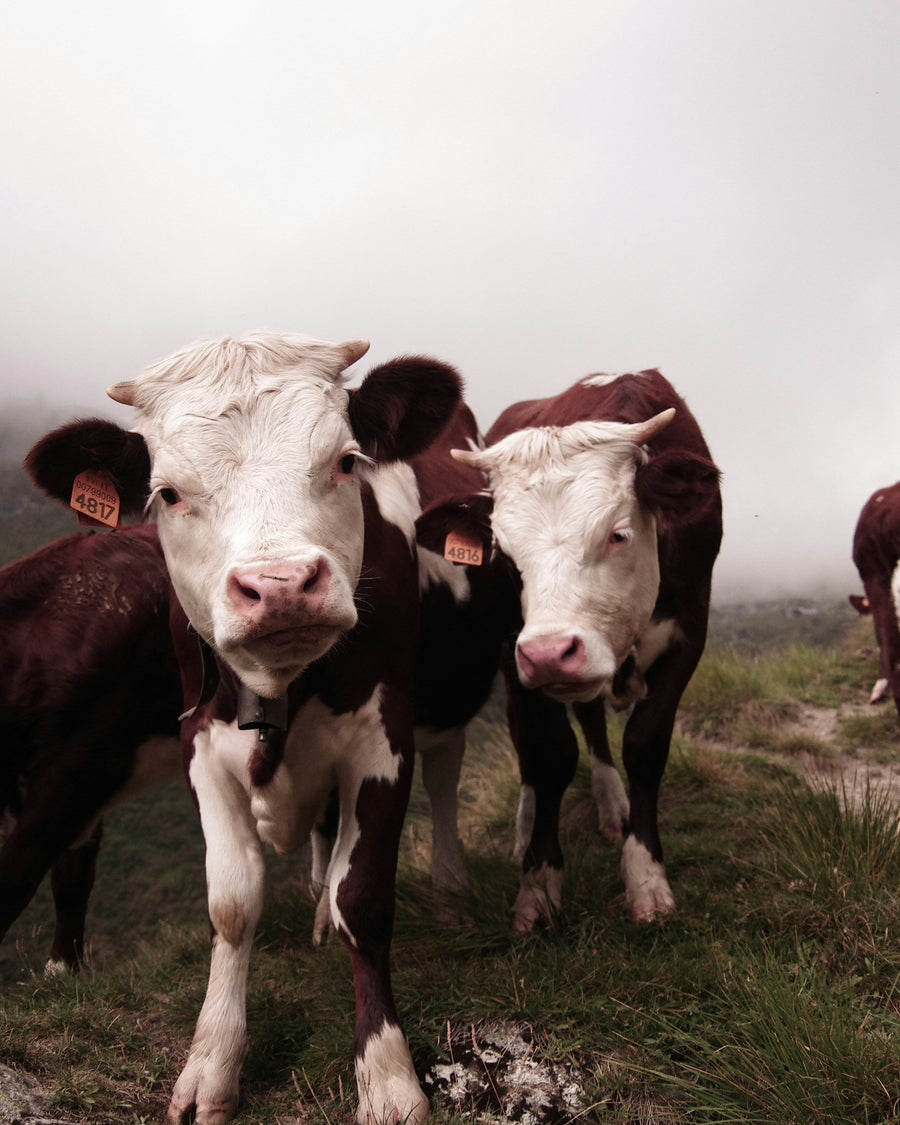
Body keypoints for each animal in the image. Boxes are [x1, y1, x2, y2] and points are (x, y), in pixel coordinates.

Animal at [25, 331, 462, 1125]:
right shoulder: (200, 743)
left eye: (345, 460)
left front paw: (388, 1077)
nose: (282, 587)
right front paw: (212, 1065)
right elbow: (230, 907)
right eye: (167, 493)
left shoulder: (384, 737)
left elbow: (362, 899)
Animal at [416, 369, 721, 929]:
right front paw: (538, 886)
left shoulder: (690, 632)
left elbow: (645, 746)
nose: (550, 652)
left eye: (617, 535)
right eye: (502, 553)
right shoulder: (521, 652)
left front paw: (646, 878)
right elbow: (548, 754)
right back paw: (527, 827)